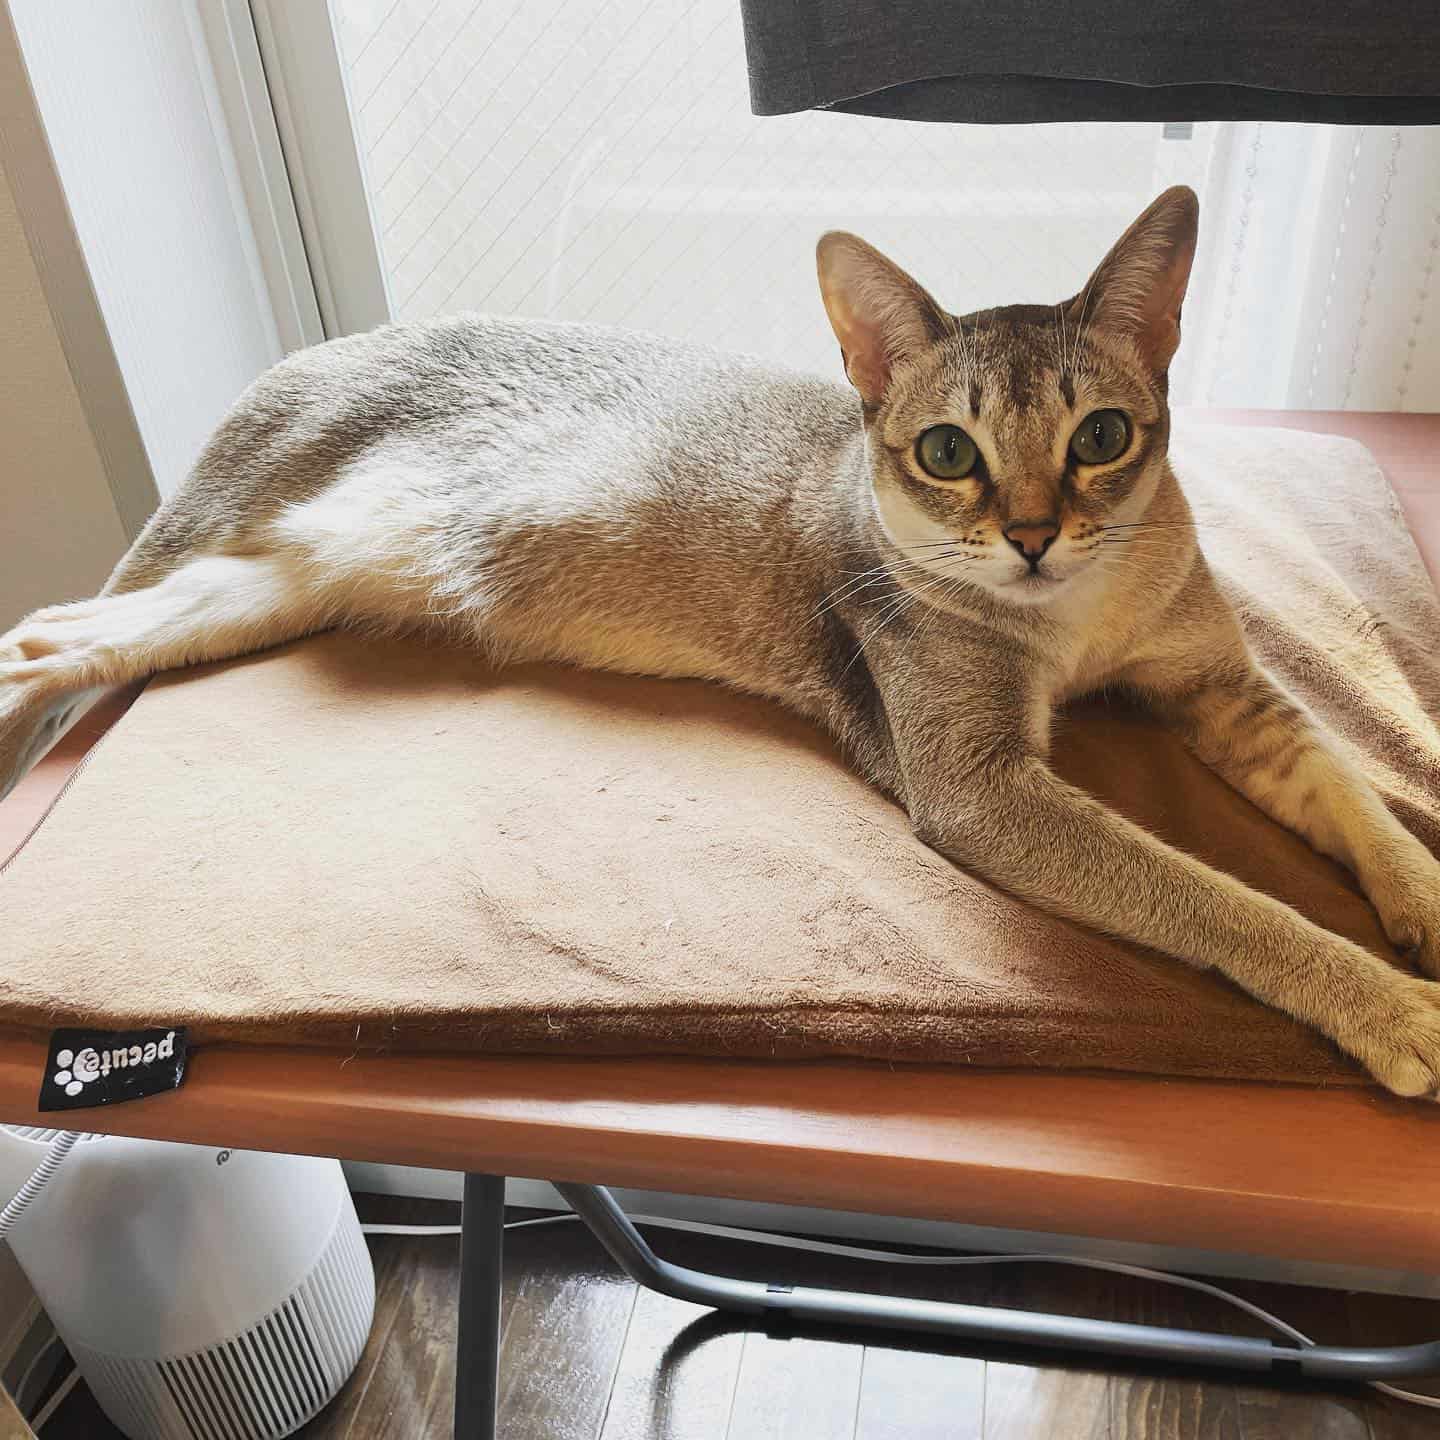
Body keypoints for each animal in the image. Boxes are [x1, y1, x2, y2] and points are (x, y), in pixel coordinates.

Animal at [2, 185, 1440, 1094]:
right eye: (947, 453)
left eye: (1101, 436)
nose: (1032, 534)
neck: (1075, 615)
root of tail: (311, 353)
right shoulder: (977, 782)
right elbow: (1215, 896)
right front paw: (1386, 1004)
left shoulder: (1222, 688)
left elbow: (1362, 802)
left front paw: (1417, 907)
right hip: (235, 530)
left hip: (254, 593)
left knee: (54, 635)